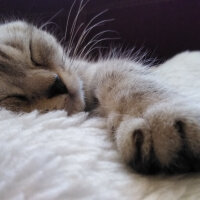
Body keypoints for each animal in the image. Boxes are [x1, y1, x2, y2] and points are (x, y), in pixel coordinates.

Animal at [0, 19, 199, 174]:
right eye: (15, 99)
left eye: (32, 52)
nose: (57, 84)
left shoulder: (91, 71)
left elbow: (128, 83)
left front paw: (154, 115)